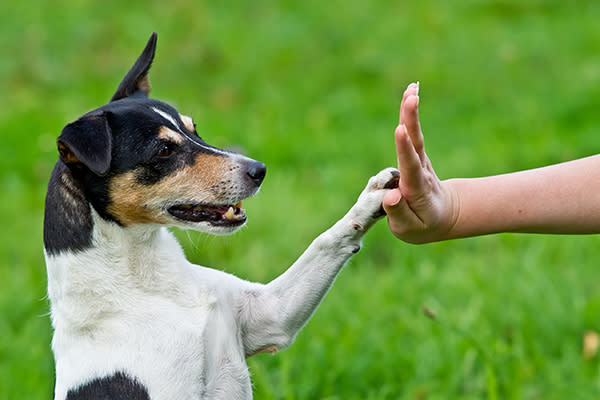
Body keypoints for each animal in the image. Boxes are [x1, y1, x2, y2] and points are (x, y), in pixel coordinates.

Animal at [42, 33, 398, 400]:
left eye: (194, 129)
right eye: (164, 150)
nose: (259, 170)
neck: (149, 283)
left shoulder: (270, 315)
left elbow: (325, 242)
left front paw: (374, 197)